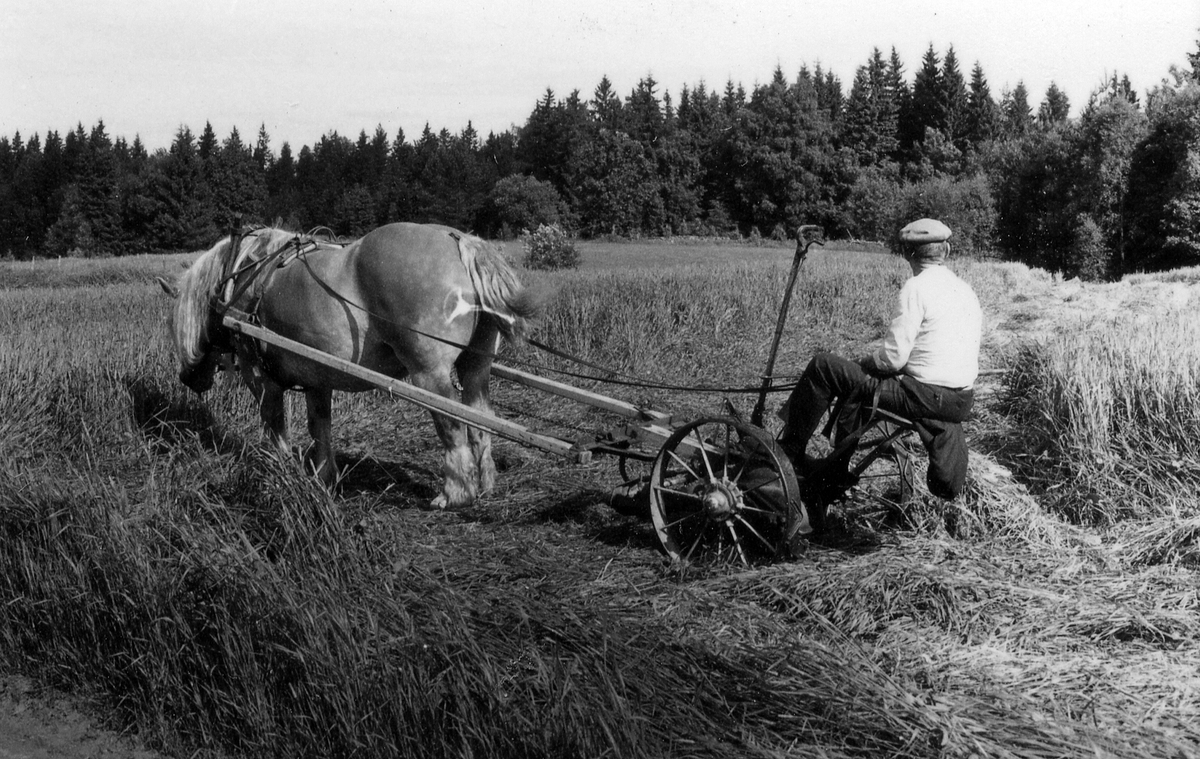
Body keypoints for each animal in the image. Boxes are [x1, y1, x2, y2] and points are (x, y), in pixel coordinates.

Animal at [157, 222, 542, 506]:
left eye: (177, 323)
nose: (189, 379)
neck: (243, 276)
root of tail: (461, 241)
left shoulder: (260, 378)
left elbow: (275, 427)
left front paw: (281, 476)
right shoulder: (317, 378)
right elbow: (320, 427)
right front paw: (321, 478)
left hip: (430, 374)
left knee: (453, 424)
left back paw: (455, 493)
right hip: (476, 364)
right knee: (480, 418)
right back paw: (486, 481)